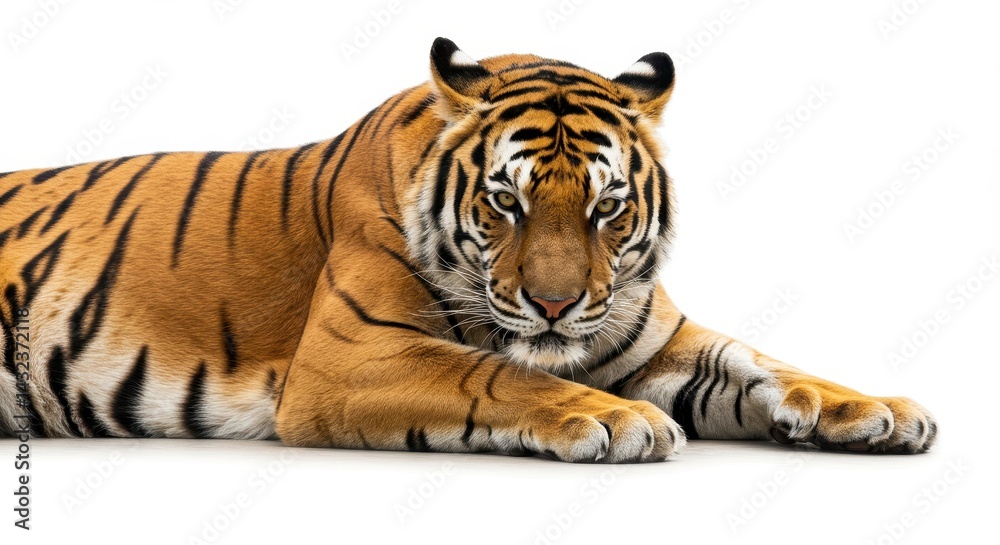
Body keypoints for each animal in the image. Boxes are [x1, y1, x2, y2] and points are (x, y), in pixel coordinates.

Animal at [0, 38, 936, 462]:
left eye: (606, 207)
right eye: (505, 203)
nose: (556, 305)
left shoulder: (656, 340)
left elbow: (762, 362)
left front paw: (877, 409)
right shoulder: (352, 354)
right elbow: (492, 372)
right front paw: (620, 417)